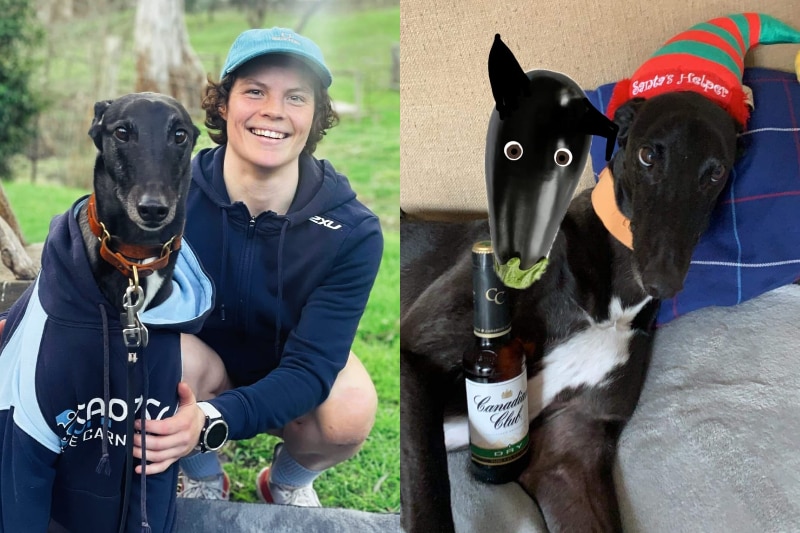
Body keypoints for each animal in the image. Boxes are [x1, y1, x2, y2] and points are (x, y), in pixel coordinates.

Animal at [404, 89, 740, 528]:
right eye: (648, 155)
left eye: (715, 173)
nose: (663, 280)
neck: (613, 307)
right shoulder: (416, 356)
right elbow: (430, 500)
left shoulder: (572, 447)